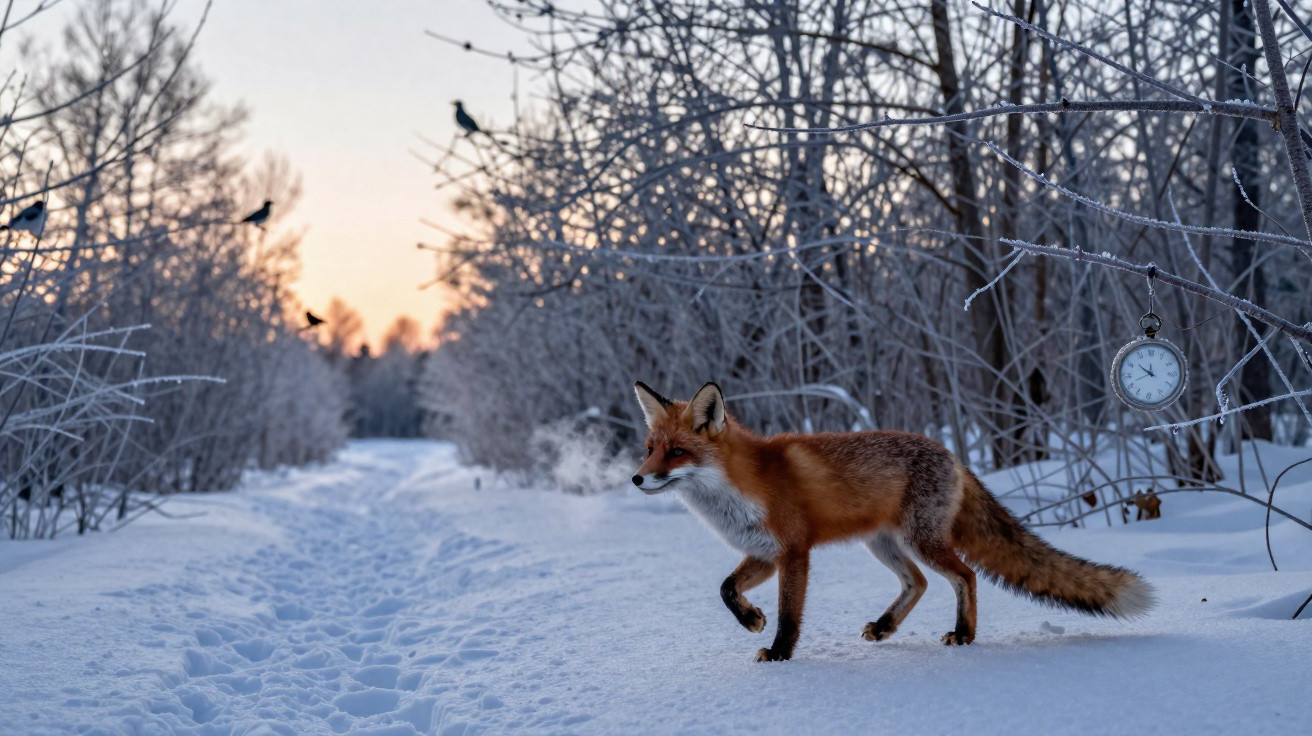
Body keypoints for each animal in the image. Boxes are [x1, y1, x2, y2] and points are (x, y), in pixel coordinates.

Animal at [631, 380, 1154, 662]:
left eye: (677, 453)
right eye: (650, 448)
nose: (637, 478)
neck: (742, 487)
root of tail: (953, 455)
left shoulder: (794, 551)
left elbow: (790, 615)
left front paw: (779, 654)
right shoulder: (762, 552)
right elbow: (725, 588)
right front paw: (750, 619)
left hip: (921, 540)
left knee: (965, 575)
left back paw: (964, 635)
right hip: (883, 544)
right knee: (919, 583)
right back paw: (885, 628)